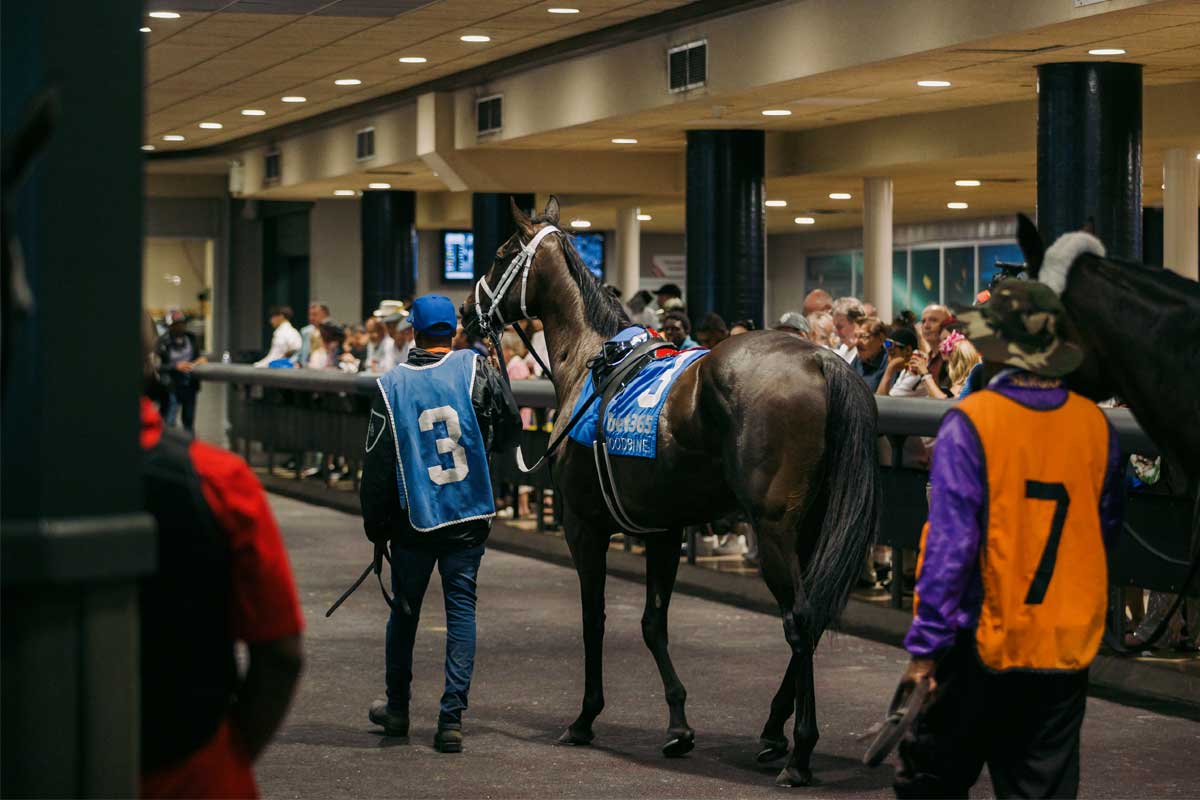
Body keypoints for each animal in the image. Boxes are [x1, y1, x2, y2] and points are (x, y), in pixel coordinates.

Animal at [468, 196, 883, 786]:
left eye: (503, 251)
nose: (467, 310)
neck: (594, 364)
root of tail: (821, 359)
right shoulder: (661, 530)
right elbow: (652, 624)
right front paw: (679, 725)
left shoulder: (583, 527)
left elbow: (593, 619)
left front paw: (584, 718)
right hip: (814, 526)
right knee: (816, 615)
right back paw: (772, 731)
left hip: (773, 530)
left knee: (800, 619)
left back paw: (799, 752)